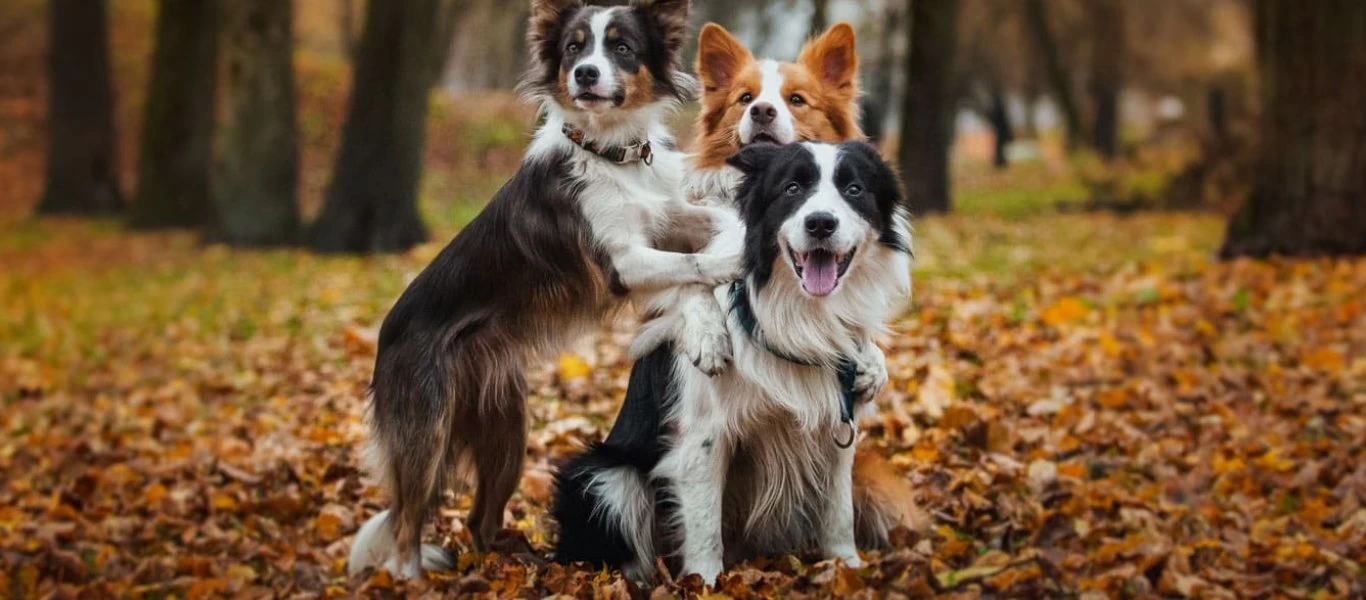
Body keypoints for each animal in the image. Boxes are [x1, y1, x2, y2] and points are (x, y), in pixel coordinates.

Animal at [346, 0, 743, 582]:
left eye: (622, 47)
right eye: (574, 49)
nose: (586, 74)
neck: (611, 152)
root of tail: (384, 337)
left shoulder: (667, 223)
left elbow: (700, 249)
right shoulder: (620, 263)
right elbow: (694, 268)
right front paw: (732, 272)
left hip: (509, 430)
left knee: (480, 518)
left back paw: (514, 563)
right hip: (426, 430)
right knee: (404, 528)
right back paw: (414, 578)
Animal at [549, 140, 912, 582]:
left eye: (854, 189)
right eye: (792, 188)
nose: (821, 224)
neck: (797, 314)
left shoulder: (839, 426)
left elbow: (838, 510)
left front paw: (847, 568)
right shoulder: (704, 435)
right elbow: (705, 525)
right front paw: (705, 583)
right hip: (605, 475)